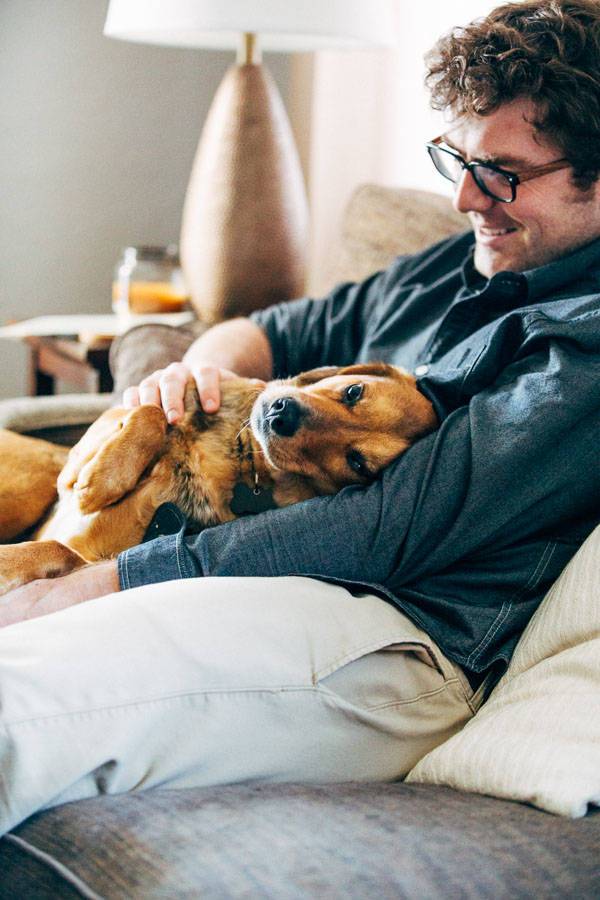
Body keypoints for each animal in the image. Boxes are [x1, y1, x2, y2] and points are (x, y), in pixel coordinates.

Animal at [0, 362, 436, 596]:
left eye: (357, 462)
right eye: (353, 391)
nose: (281, 415)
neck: (240, 456)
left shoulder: (90, 555)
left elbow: (61, 551)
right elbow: (152, 413)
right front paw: (101, 479)